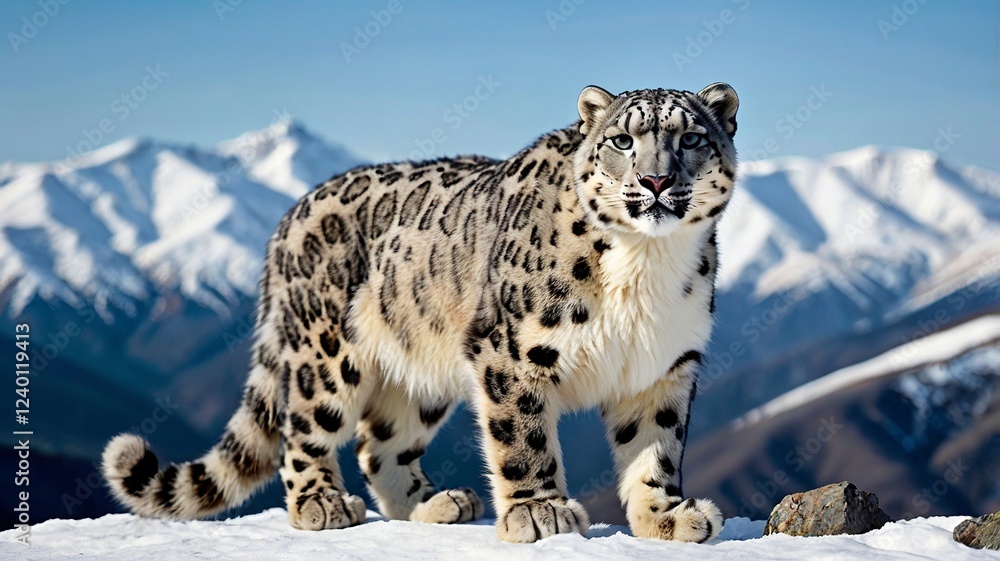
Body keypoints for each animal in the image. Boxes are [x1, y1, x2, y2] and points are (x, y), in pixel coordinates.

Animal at [103, 82, 739, 543]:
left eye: (690, 139)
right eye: (623, 141)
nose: (655, 179)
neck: (646, 266)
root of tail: (290, 216)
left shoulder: (664, 368)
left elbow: (655, 449)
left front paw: (668, 516)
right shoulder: (509, 353)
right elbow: (523, 438)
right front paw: (540, 513)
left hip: (419, 372)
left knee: (377, 443)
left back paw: (438, 503)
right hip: (325, 354)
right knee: (302, 430)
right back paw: (321, 503)